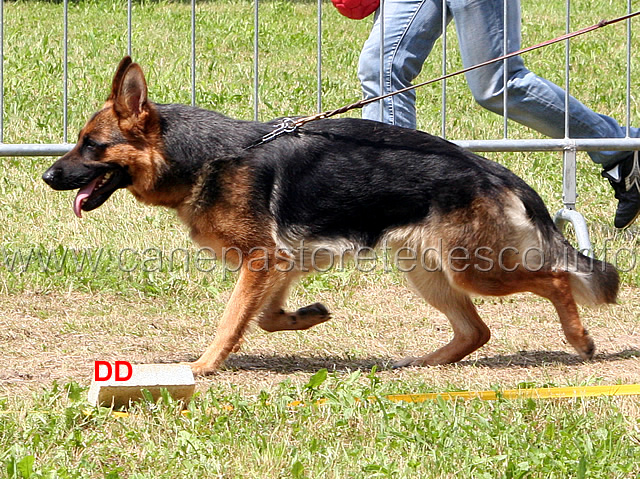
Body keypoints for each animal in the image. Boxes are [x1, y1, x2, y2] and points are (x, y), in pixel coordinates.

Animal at [42, 58, 616, 376]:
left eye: (91, 146)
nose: (47, 176)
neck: (204, 157)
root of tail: (491, 168)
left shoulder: (262, 260)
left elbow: (232, 320)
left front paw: (204, 365)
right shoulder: (279, 264)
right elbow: (266, 317)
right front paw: (308, 316)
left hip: (474, 270)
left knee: (556, 278)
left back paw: (579, 340)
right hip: (428, 271)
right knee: (477, 331)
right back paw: (418, 364)